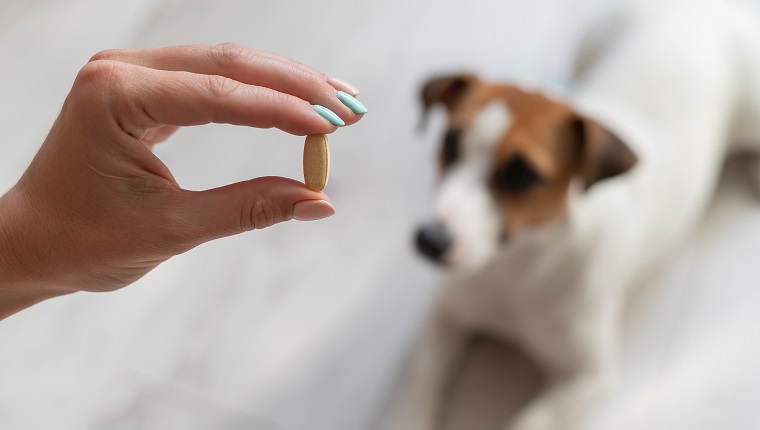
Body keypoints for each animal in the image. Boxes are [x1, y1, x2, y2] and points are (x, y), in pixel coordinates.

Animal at [388, 0, 760, 430]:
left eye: (522, 174)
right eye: (449, 143)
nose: (429, 241)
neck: (517, 268)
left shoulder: (586, 376)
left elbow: (532, 421)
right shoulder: (443, 321)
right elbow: (418, 391)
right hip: (589, 41)